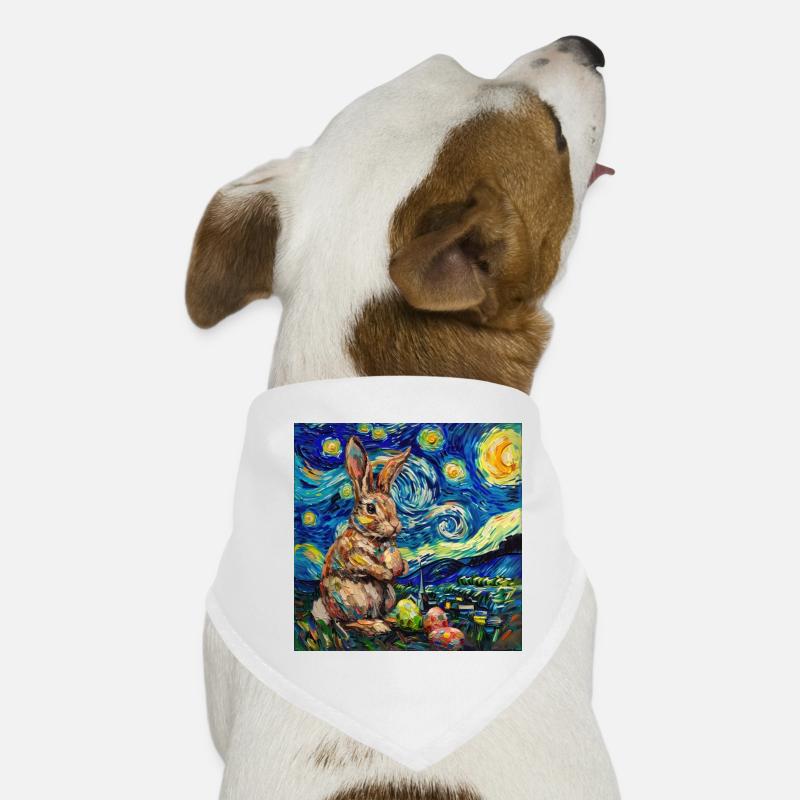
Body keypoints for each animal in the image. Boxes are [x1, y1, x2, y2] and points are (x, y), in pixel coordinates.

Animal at [319, 436, 411, 635]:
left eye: (393, 505)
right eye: (370, 508)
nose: (395, 525)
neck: (374, 538)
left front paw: (402, 567)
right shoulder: (353, 555)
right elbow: (368, 564)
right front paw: (386, 573)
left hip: (388, 596)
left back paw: (389, 619)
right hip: (352, 600)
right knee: (348, 622)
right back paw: (376, 626)